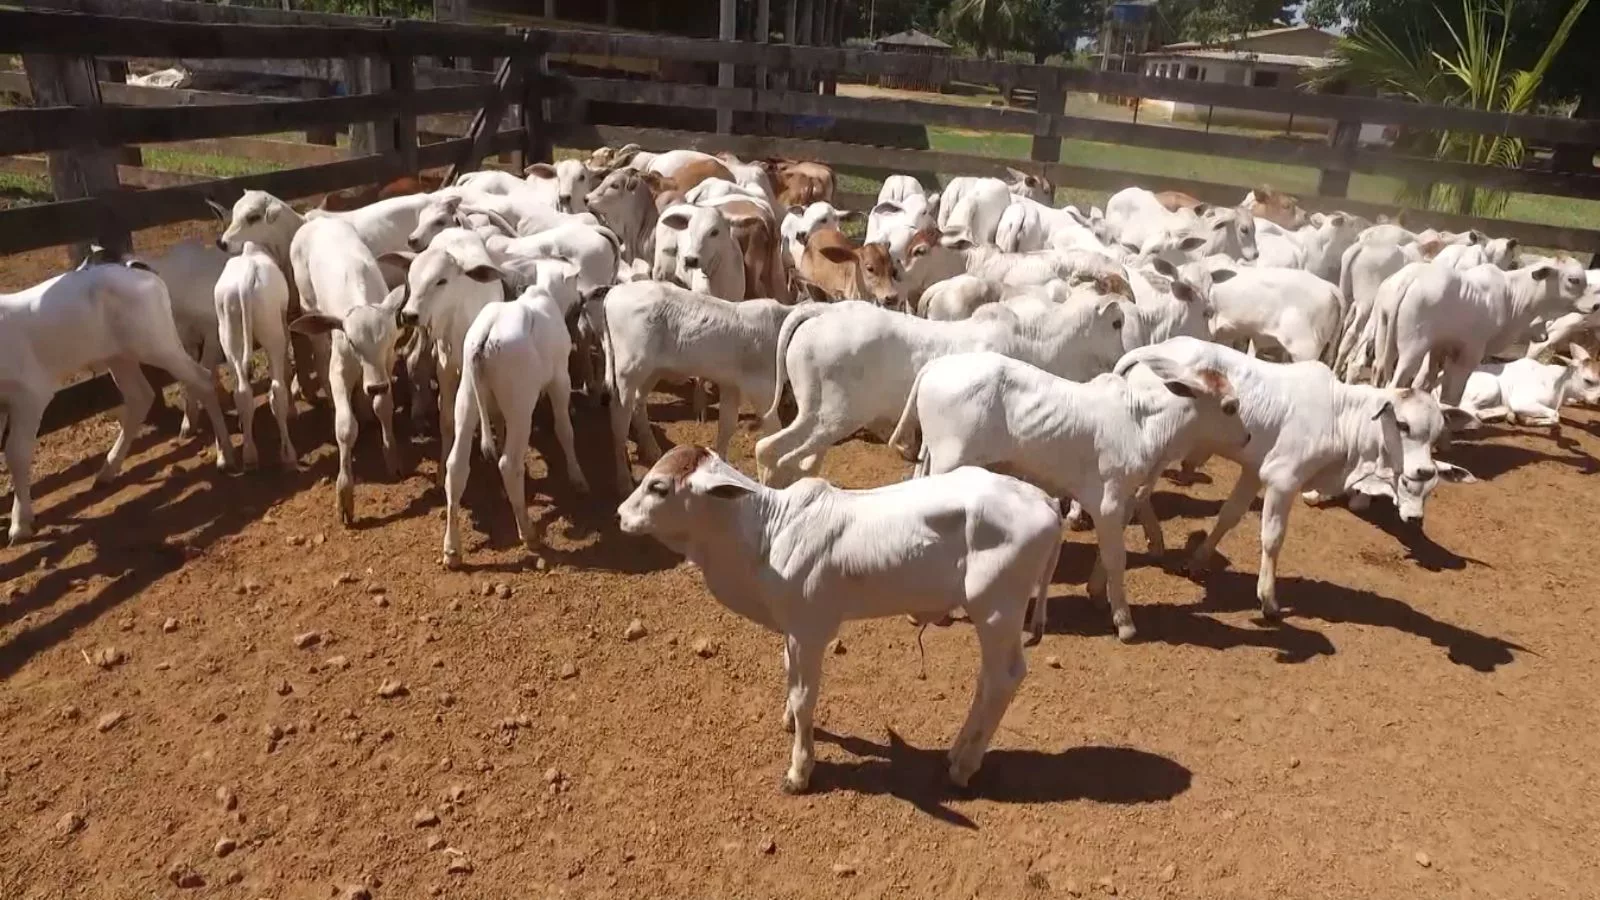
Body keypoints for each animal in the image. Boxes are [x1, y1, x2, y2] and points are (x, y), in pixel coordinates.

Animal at [214, 243, 299, 470]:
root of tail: (245, 282)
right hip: (272, 332)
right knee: (277, 391)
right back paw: (288, 454)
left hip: (229, 334)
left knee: (242, 392)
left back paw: (250, 455)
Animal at [620, 445, 1062, 787]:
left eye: (658, 487)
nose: (620, 515)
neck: (767, 533)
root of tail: (1047, 503)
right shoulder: (793, 631)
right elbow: (790, 677)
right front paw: (787, 720)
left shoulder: (810, 631)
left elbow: (805, 697)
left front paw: (799, 771)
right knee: (987, 680)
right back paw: (956, 752)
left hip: (996, 611)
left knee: (1004, 679)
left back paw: (964, 767)